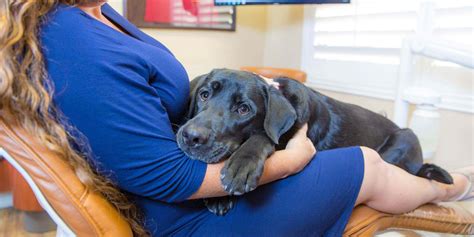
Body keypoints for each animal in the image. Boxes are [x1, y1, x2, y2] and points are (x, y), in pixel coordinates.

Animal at [176, 68, 454, 215]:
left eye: (244, 109)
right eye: (204, 95)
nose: (191, 136)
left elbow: (263, 136)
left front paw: (240, 167)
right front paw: (218, 197)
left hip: (403, 140)